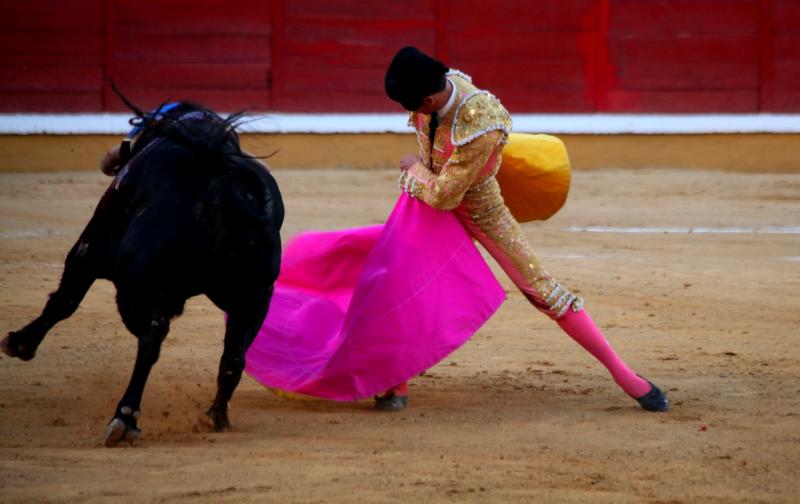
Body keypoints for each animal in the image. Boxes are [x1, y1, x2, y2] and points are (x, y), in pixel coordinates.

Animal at [0, 102, 284, 444]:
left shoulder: (90, 247)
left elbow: (64, 300)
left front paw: (19, 343)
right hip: (254, 298)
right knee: (233, 357)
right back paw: (216, 417)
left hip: (135, 290)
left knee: (151, 339)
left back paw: (125, 418)